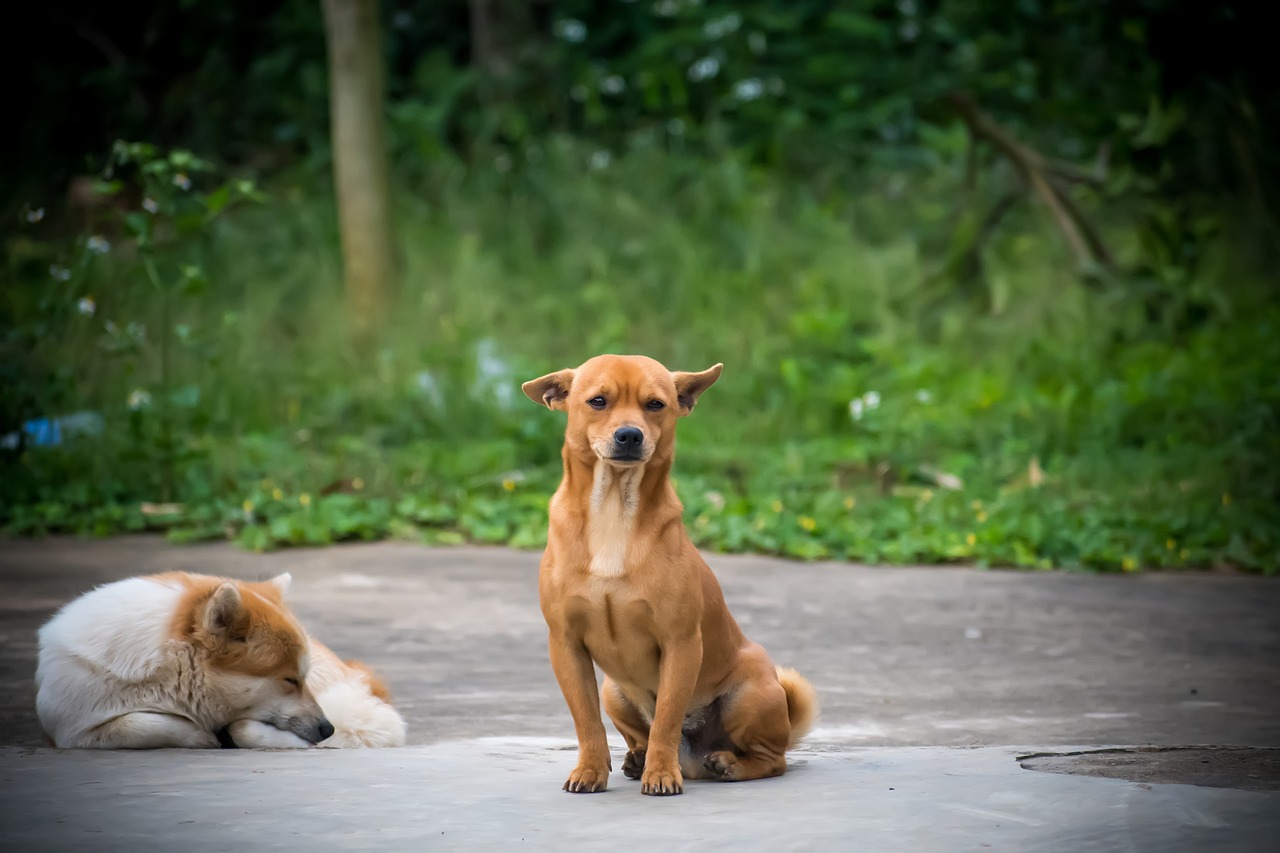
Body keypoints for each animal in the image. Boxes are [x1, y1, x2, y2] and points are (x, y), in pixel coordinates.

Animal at [36, 571, 404, 742]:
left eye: (302, 678)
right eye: (289, 680)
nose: (326, 729)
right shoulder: (72, 727)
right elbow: (138, 724)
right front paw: (202, 736)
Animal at [522, 350, 814, 788]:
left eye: (655, 404)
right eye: (597, 401)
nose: (629, 435)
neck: (613, 507)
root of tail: (693, 760)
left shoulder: (680, 645)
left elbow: (666, 720)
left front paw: (661, 774)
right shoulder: (566, 645)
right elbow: (587, 721)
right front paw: (591, 769)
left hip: (748, 696)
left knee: (773, 758)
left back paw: (728, 763)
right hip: (614, 691)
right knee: (636, 734)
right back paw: (636, 759)